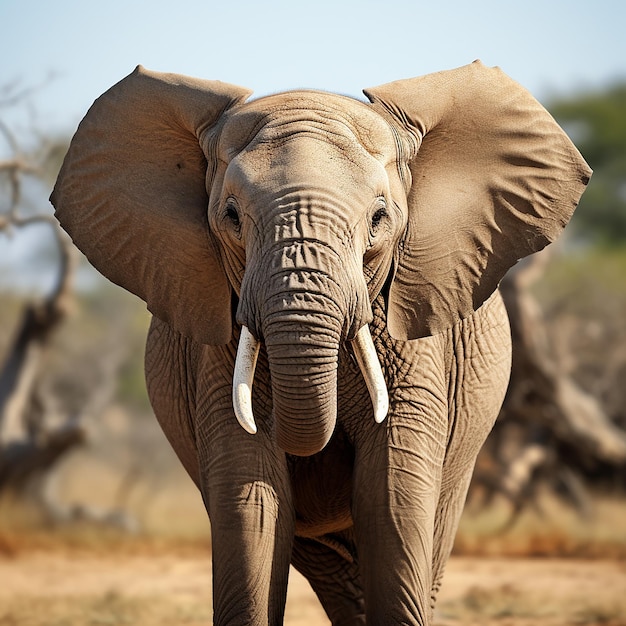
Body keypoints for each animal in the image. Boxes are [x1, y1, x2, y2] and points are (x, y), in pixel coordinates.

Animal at [51, 59, 588, 624]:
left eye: (379, 218)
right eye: (231, 217)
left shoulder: (415, 338)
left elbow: (391, 498)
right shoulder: (219, 349)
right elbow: (251, 504)